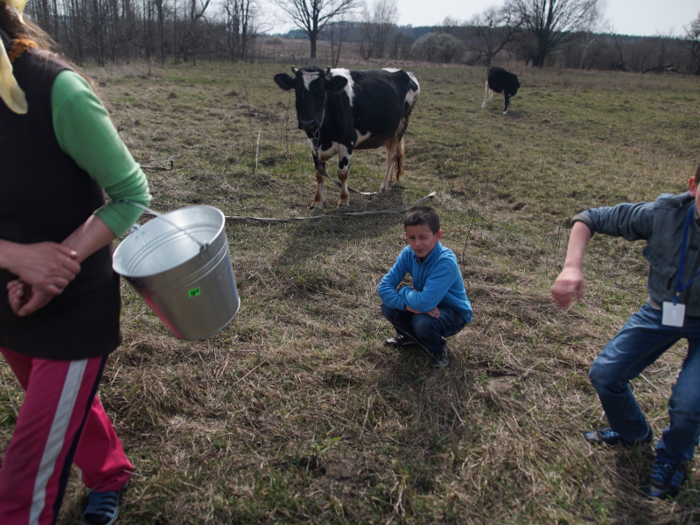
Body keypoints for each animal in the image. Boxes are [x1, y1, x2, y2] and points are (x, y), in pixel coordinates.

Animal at [272, 67, 416, 209]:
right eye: (297, 92)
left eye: (322, 93)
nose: (307, 122)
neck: (324, 136)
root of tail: (406, 72)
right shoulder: (313, 145)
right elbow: (320, 174)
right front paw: (317, 201)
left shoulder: (347, 142)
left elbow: (342, 173)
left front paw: (343, 200)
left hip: (400, 127)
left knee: (391, 157)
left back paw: (385, 185)